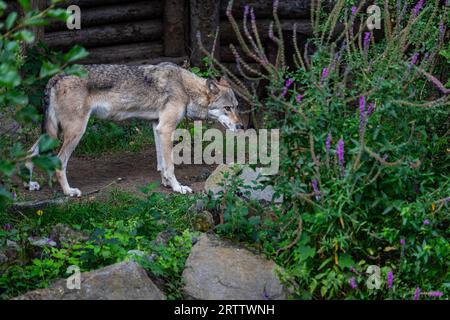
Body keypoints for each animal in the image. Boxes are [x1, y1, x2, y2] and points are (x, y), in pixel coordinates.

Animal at [25, 62, 243, 196]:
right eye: (227, 108)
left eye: (237, 107)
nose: (241, 125)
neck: (184, 87)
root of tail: (57, 76)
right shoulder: (166, 129)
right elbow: (170, 165)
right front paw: (178, 187)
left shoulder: (157, 127)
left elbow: (162, 163)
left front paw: (165, 183)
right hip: (75, 133)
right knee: (59, 162)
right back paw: (69, 192)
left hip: (53, 134)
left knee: (29, 152)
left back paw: (30, 184)